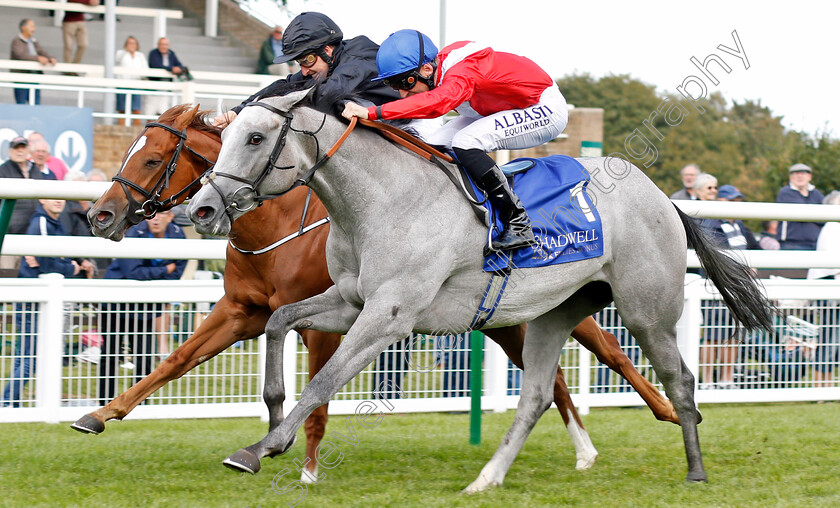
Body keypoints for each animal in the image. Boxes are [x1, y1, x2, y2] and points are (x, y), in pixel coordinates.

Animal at [70, 103, 676, 476]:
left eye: (152, 158)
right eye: (129, 149)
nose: (99, 215)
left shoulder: (357, 319)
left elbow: (319, 389)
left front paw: (302, 464)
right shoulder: (246, 309)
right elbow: (178, 361)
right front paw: (99, 415)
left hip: (570, 303)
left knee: (614, 351)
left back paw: (667, 413)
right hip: (504, 320)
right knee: (553, 382)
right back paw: (587, 450)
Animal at [187, 88, 772, 492]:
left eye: (255, 138)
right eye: (226, 137)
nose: (203, 209)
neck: (381, 201)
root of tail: (664, 199)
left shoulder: (389, 315)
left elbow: (324, 381)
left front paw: (265, 446)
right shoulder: (351, 301)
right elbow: (280, 321)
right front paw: (272, 419)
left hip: (646, 312)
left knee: (680, 380)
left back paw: (694, 467)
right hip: (555, 313)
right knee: (538, 394)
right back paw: (488, 478)